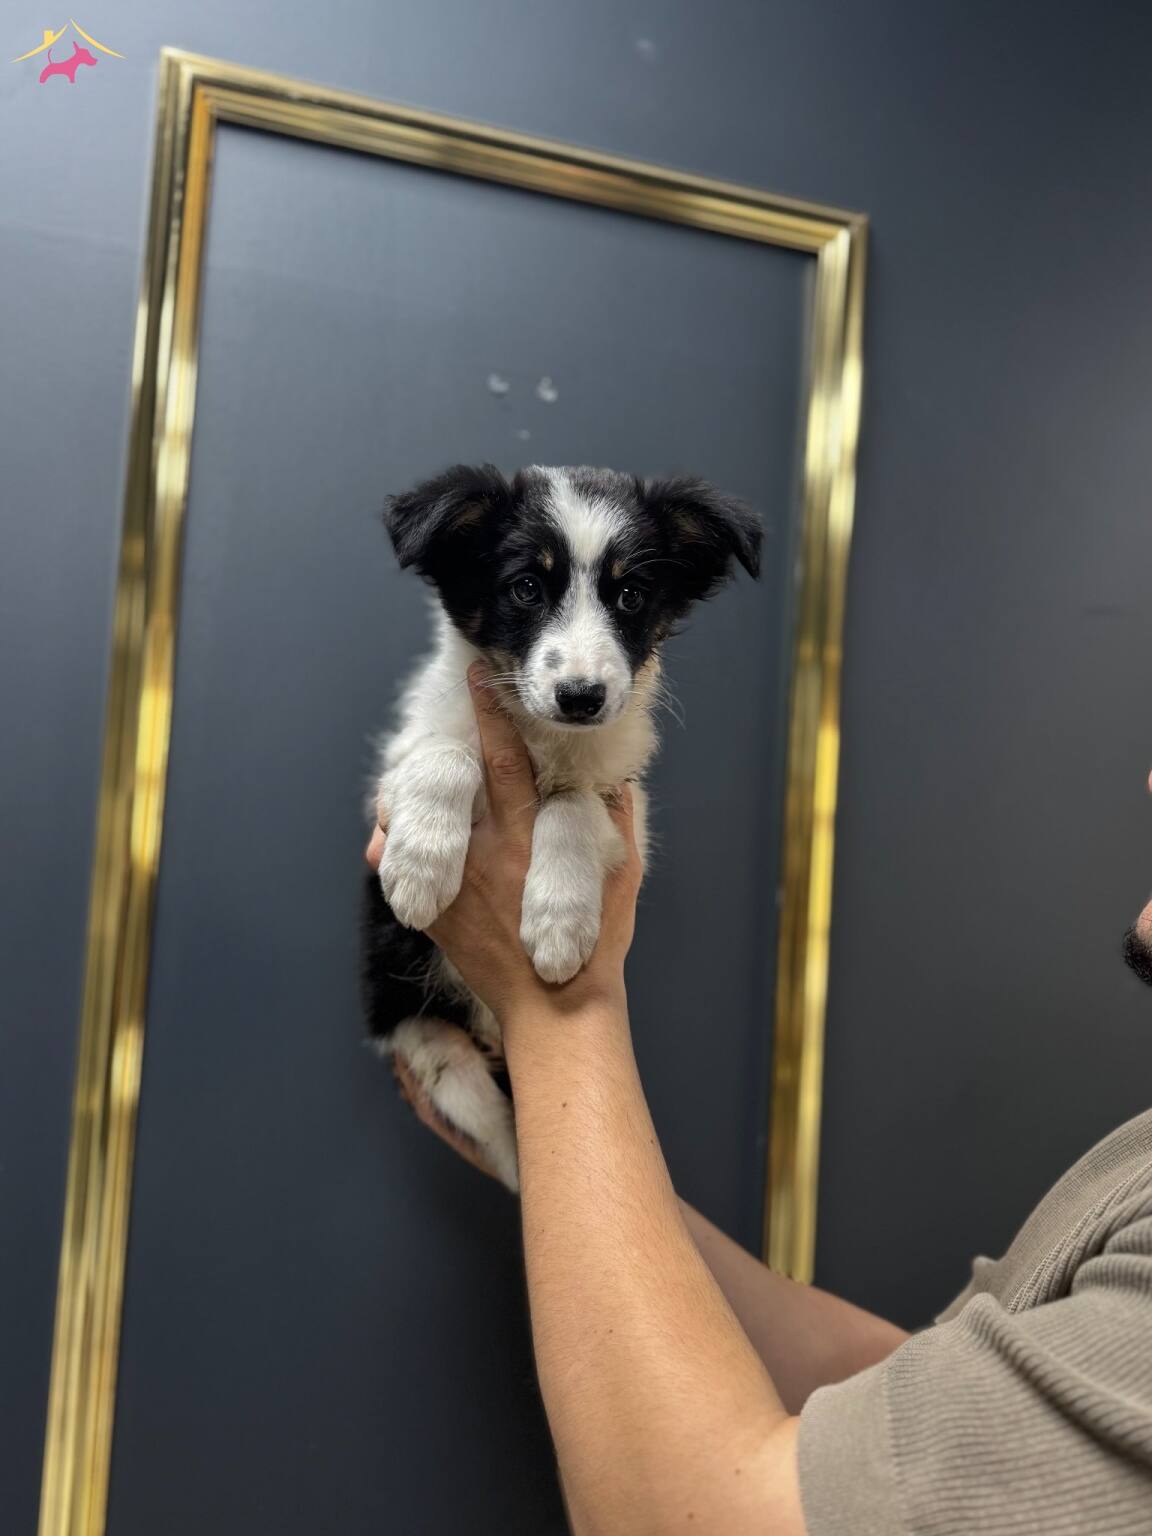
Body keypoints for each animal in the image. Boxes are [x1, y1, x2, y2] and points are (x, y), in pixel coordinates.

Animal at [361, 463, 761, 1189]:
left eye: (631, 595)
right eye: (525, 587)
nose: (581, 697)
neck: (542, 737)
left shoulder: (626, 807)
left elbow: (571, 807)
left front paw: (557, 924)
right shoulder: (398, 766)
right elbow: (446, 752)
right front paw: (420, 869)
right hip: (436, 1052)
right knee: (504, 1143)